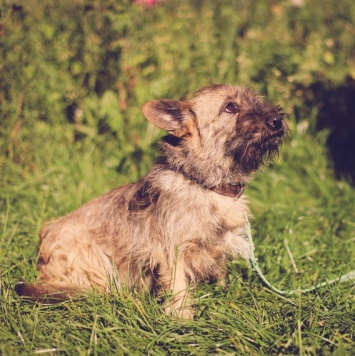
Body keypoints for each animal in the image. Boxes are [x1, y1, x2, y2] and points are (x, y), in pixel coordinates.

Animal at [17, 85, 290, 318]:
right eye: (230, 107)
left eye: (257, 99)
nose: (277, 120)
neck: (204, 184)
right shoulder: (173, 253)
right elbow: (179, 289)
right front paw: (182, 322)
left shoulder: (219, 248)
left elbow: (220, 272)